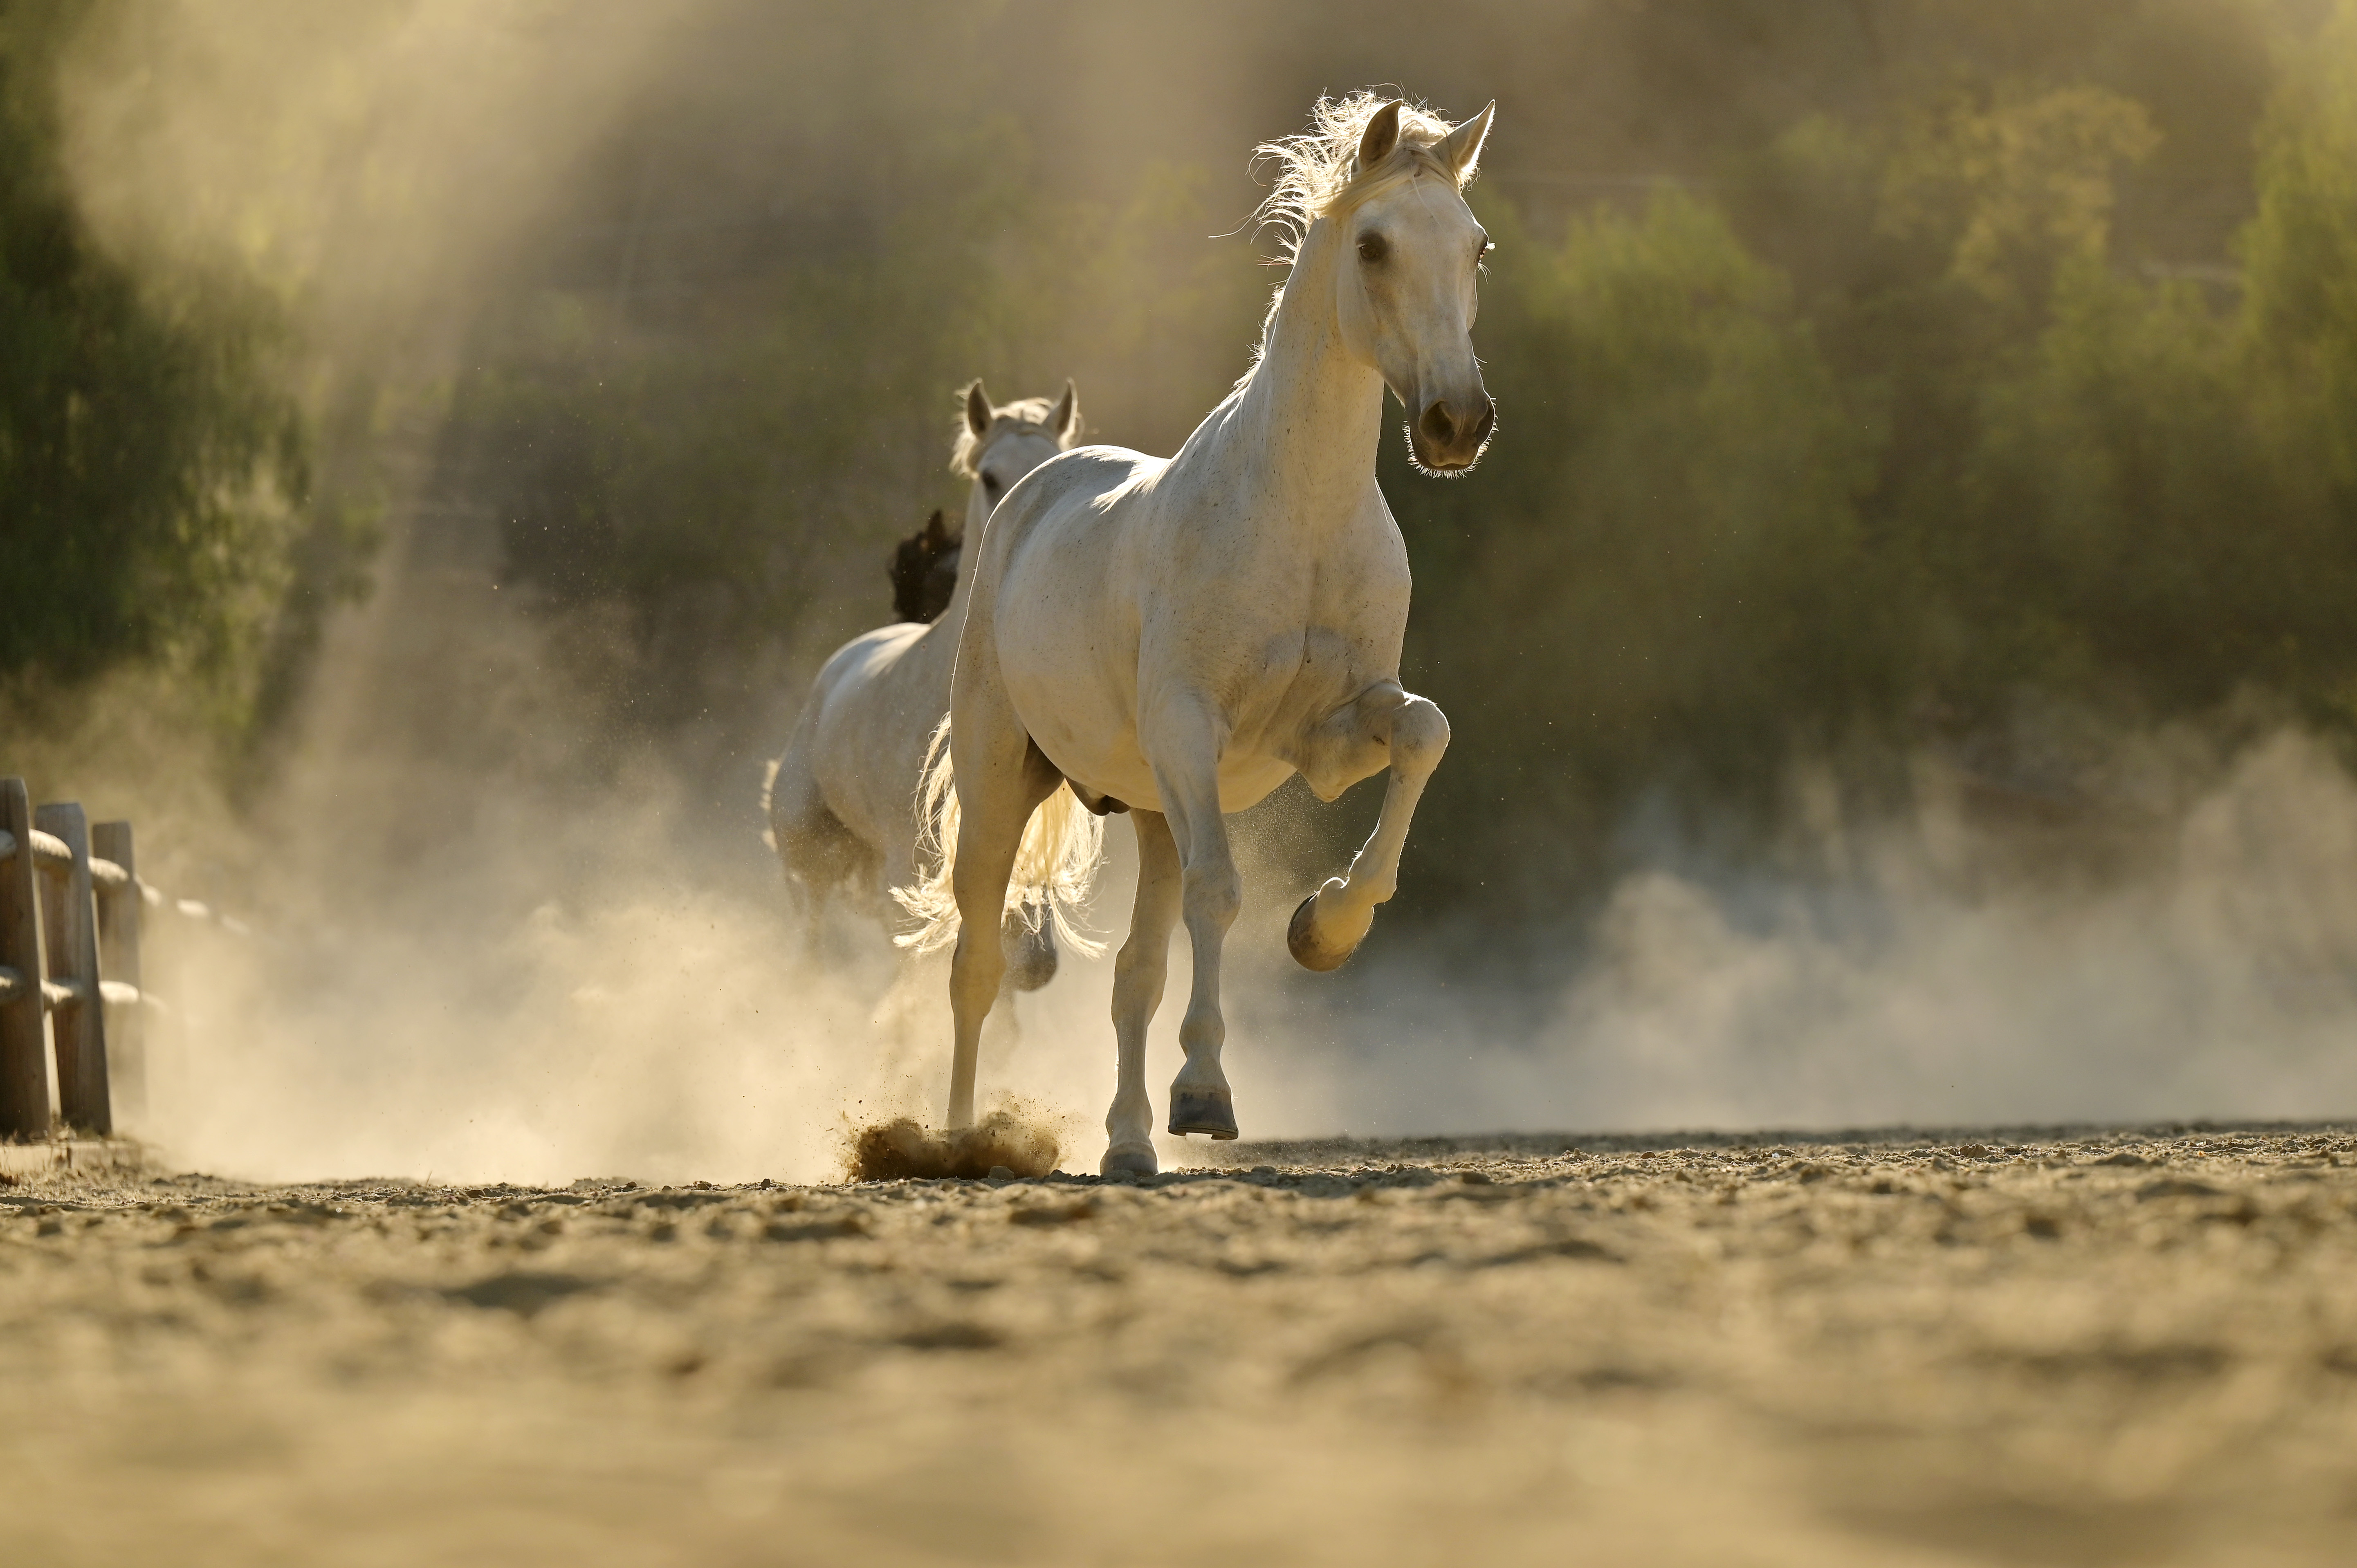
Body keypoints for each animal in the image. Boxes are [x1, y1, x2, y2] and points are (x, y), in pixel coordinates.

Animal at [899, 94, 1496, 1175]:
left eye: (1477, 245)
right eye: (1374, 244)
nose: (1456, 422)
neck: (1297, 516)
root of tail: (1038, 487)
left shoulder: (1332, 732)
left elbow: (1424, 734)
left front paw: (1324, 928)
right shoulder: (1191, 731)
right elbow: (1219, 895)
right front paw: (1206, 1091)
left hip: (1149, 808)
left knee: (1133, 971)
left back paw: (1128, 1145)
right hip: (1003, 777)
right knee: (974, 960)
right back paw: (961, 1138)